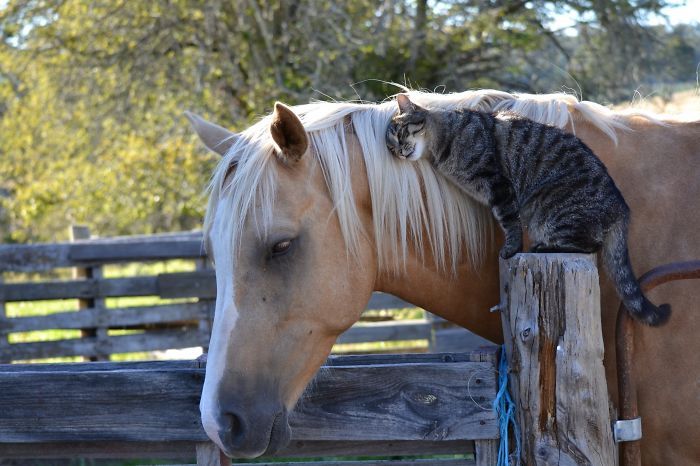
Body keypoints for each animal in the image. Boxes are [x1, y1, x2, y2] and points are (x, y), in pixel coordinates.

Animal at [388, 93, 672, 326]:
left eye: (400, 133)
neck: (444, 140)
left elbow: (509, 222)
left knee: (588, 245)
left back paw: (543, 246)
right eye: (390, 145)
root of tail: (621, 208)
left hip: (551, 209)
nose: (398, 151)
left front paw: (511, 249)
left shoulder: (499, 186)